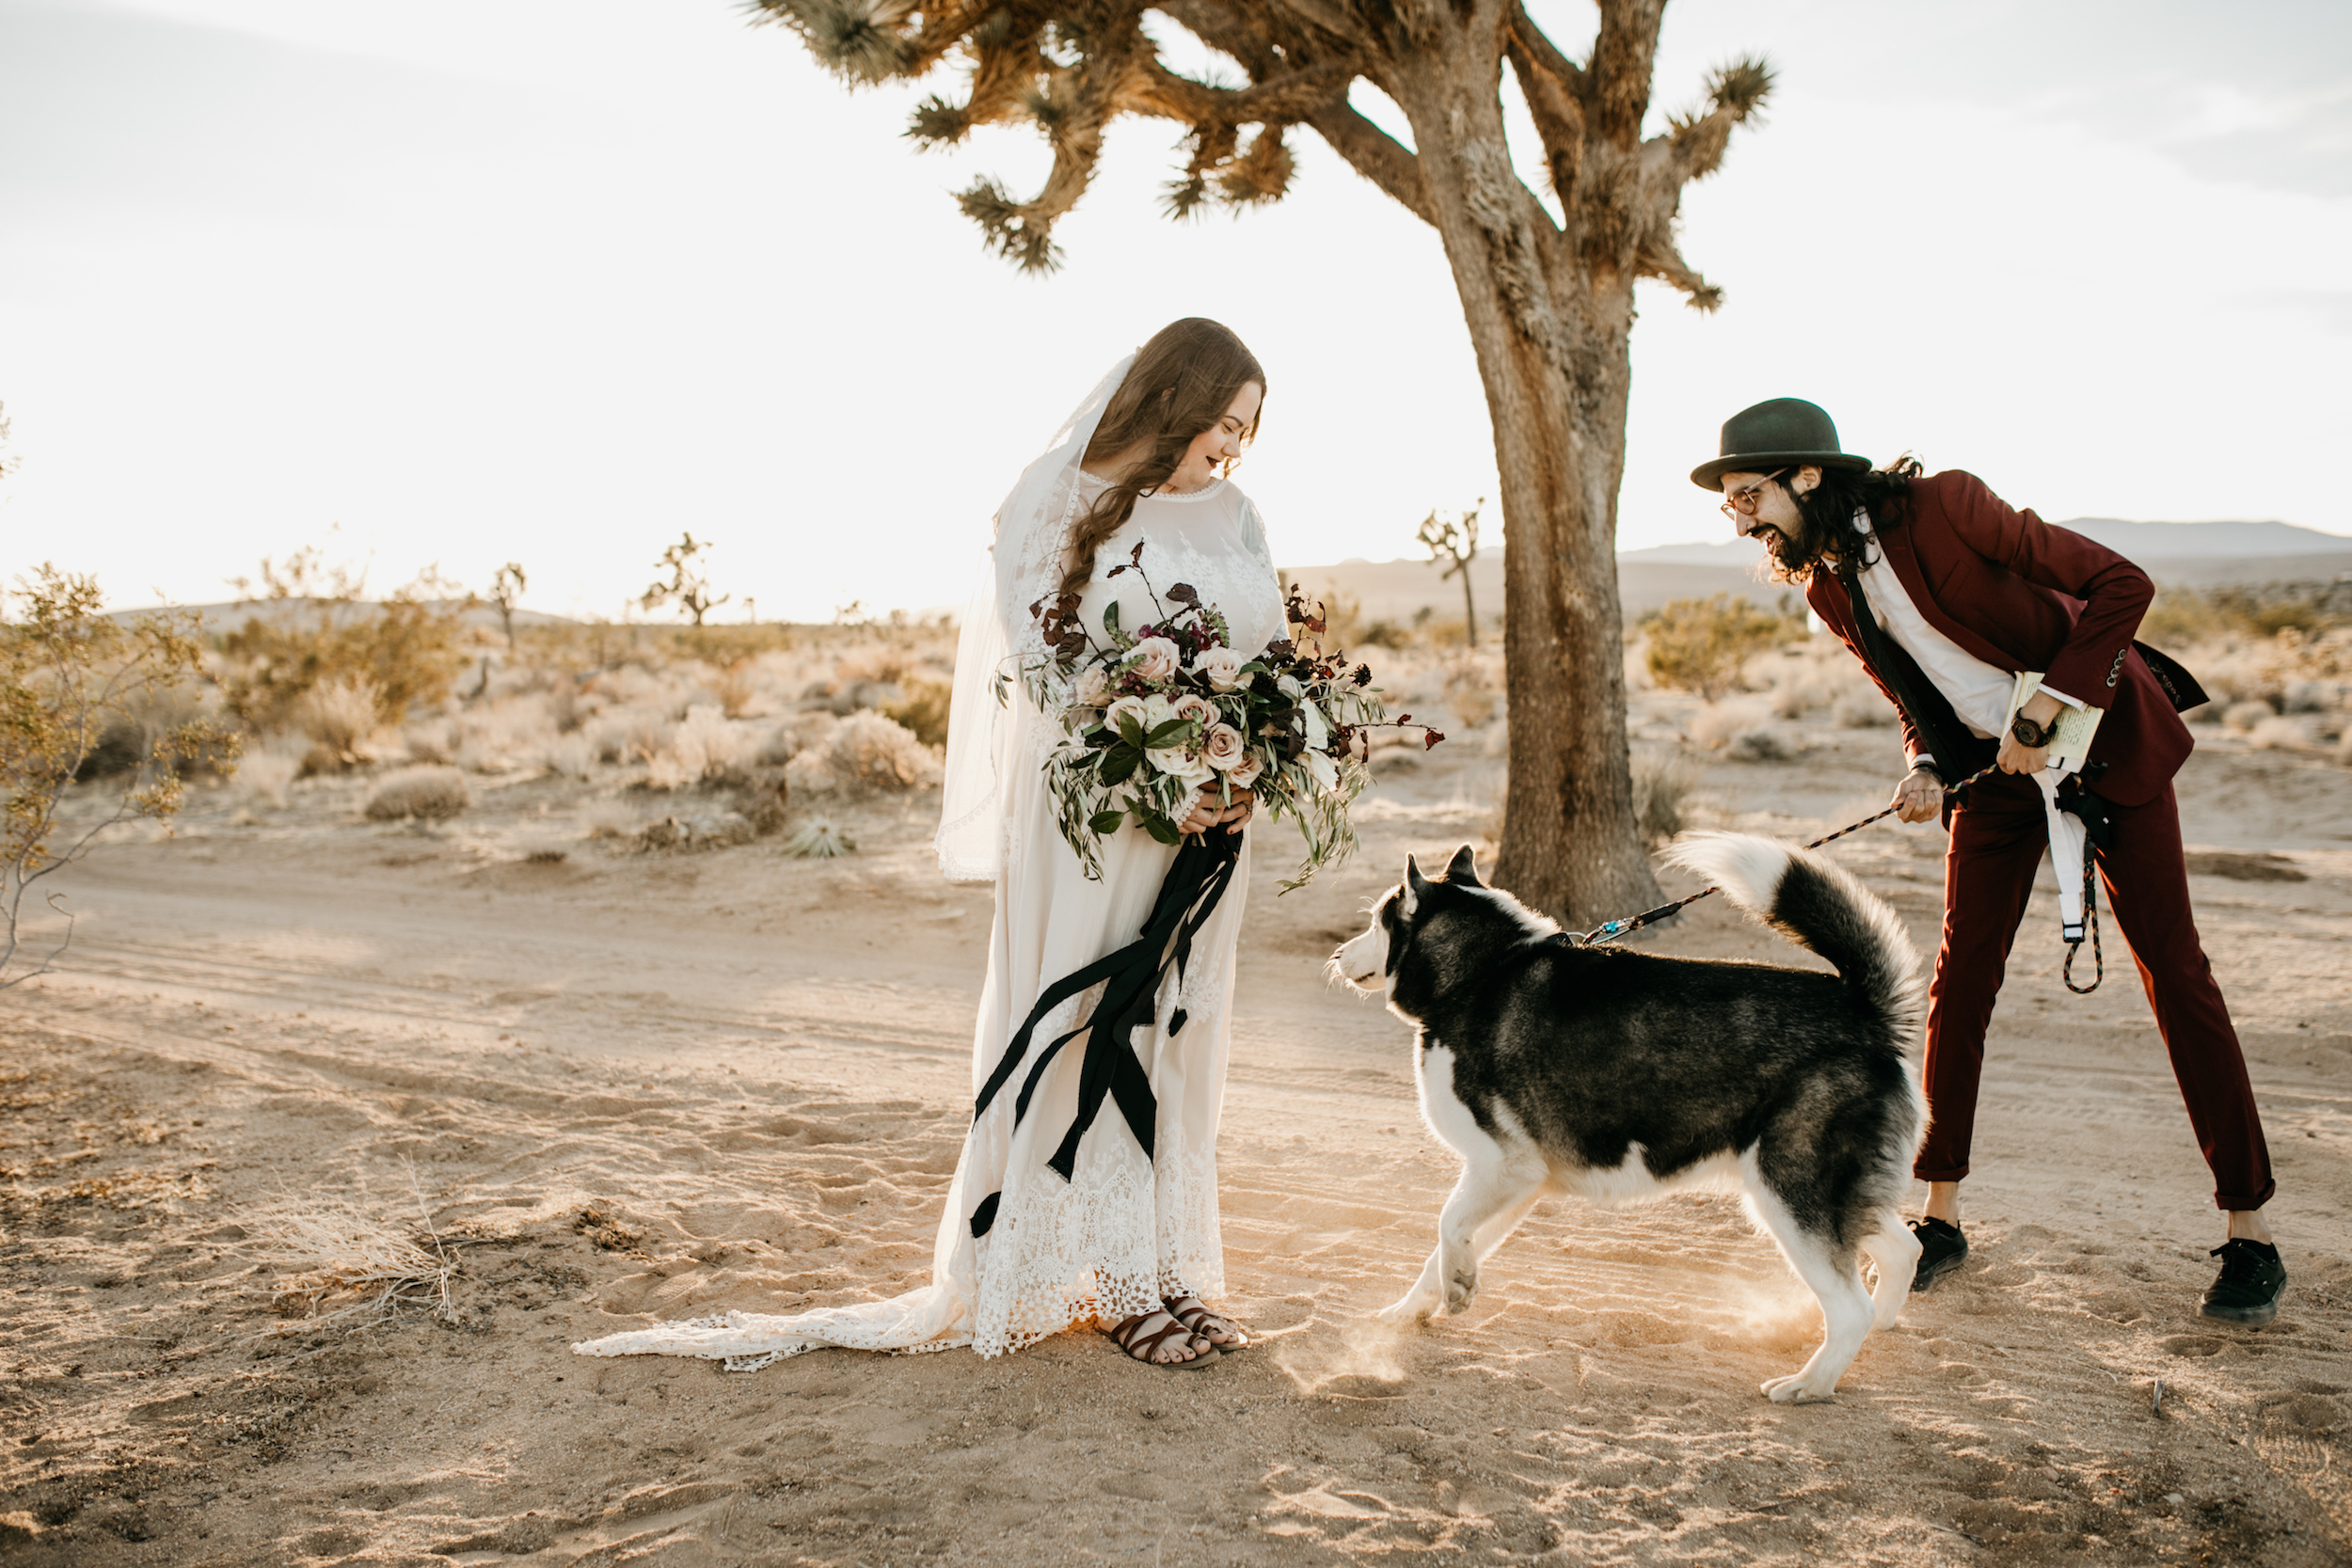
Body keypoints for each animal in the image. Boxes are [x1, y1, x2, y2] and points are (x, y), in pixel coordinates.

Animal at [1345, 841, 1929, 1401]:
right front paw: (1419, 1306)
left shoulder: (1502, 1165)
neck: (1486, 970)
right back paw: (1878, 1330)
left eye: (1375, 921)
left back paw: (1810, 1384)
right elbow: (1447, 1246)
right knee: (1905, 1251)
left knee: (1851, 1307)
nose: (1335, 955)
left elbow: (1446, 1225)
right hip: (1830, 1198)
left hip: (1789, 1197)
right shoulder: (1517, 1182)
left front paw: (1456, 1287)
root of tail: (1864, 1012)